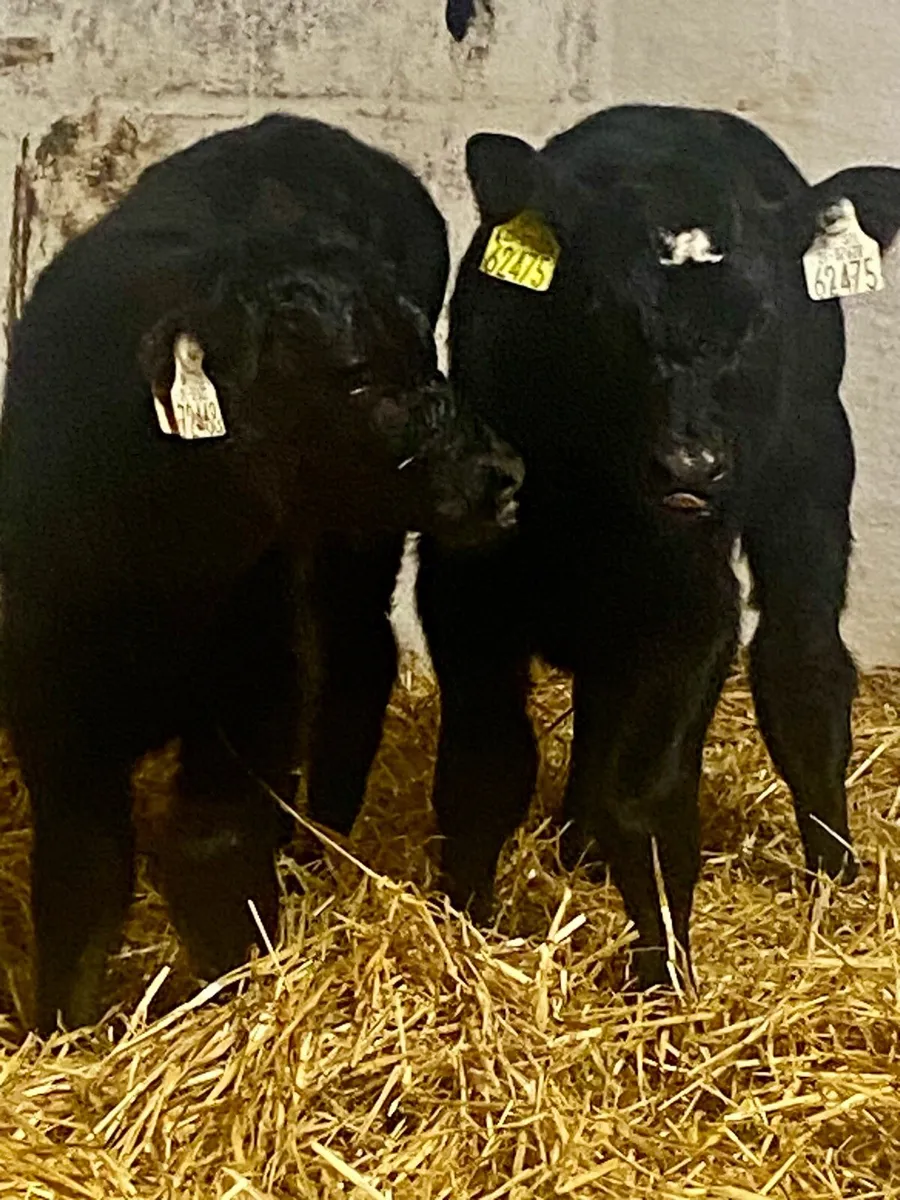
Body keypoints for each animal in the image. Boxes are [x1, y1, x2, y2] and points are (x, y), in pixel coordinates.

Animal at [0, 112, 524, 1034]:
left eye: (424, 349)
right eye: (354, 379)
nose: (501, 475)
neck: (158, 573)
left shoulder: (256, 687)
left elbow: (217, 850)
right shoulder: (56, 712)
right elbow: (82, 869)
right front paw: (63, 1029)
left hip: (355, 544)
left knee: (360, 664)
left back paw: (322, 846)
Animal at [414, 104, 900, 988]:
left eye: (760, 319)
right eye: (601, 310)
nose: (690, 467)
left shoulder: (692, 601)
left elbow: (643, 796)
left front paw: (662, 973)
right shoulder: (462, 581)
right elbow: (482, 768)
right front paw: (465, 930)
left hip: (813, 467)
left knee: (803, 664)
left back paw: (836, 876)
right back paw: (577, 846)